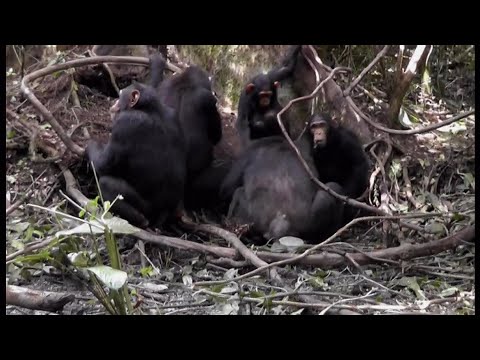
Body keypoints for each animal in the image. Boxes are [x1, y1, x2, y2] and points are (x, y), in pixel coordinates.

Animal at [85, 54, 187, 228]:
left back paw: (139, 220)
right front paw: (157, 63)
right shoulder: (172, 113)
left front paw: (91, 144)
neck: (149, 109)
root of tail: (161, 216)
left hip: (146, 207)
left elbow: (103, 164)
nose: (114, 103)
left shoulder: (125, 124)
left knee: (107, 183)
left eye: (120, 96)